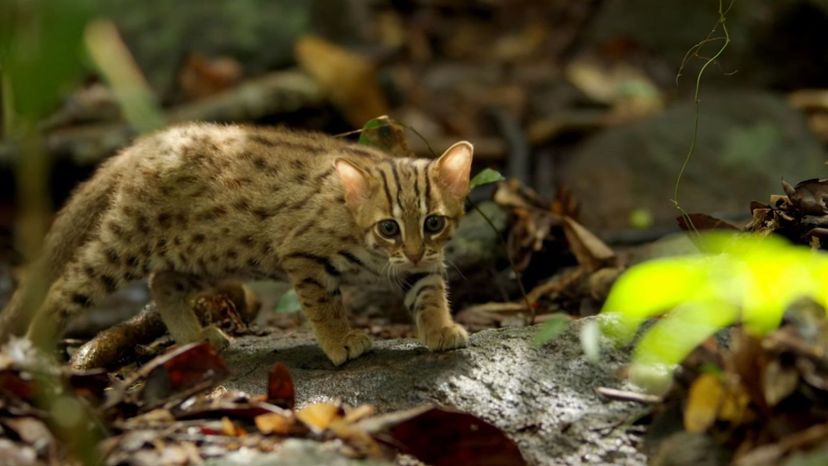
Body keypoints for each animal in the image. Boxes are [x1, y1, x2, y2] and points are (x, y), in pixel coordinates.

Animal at [0, 122, 472, 366]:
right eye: (389, 228)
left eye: (433, 223)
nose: (413, 250)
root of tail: (150, 141)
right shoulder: (302, 253)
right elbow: (325, 305)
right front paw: (340, 341)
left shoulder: (422, 265)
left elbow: (430, 292)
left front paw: (440, 329)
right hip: (124, 246)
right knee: (64, 287)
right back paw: (37, 349)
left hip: (207, 254)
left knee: (161, 283)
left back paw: (194, 336)